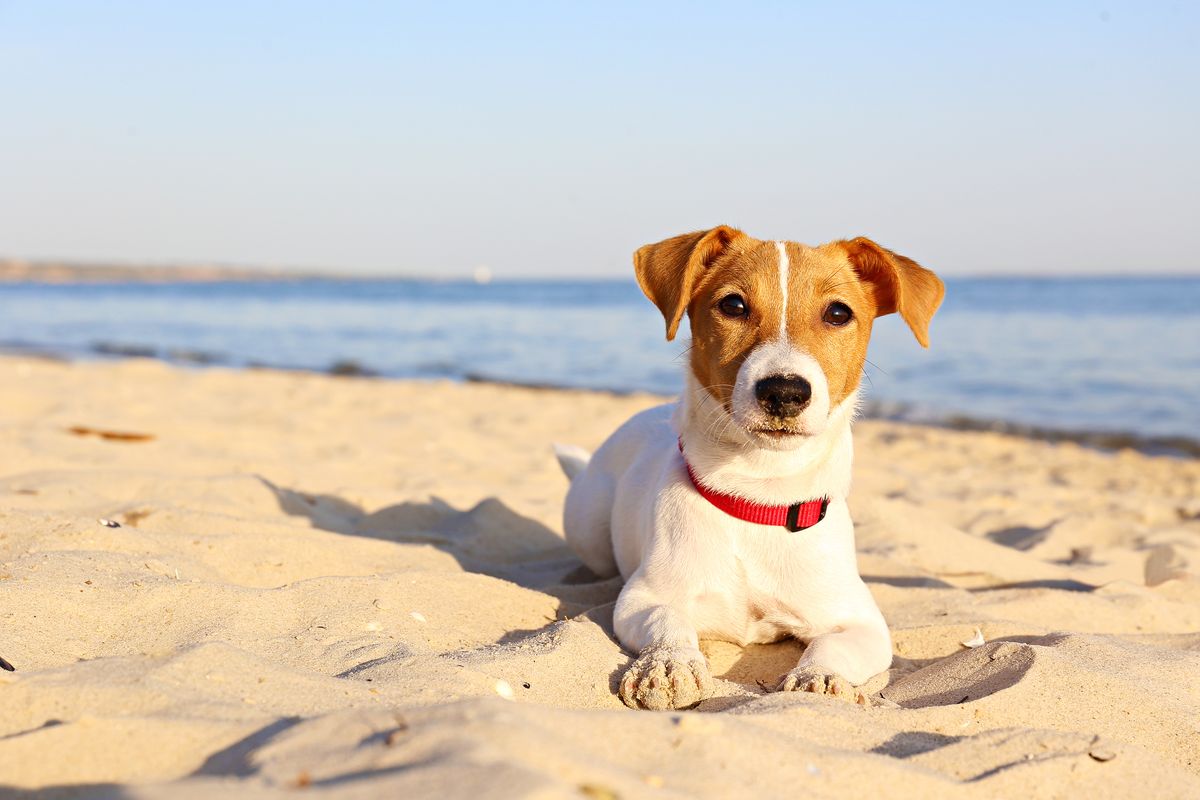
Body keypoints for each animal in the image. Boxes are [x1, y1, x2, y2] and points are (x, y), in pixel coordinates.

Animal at [554, 227, 945, 710]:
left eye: (838, 312)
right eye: (733, 305)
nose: (784, 391)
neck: (759, 494)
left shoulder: (862, 623)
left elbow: (832, 646)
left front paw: (818, 677)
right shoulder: (643, 598)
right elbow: (668, 623)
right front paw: (668, 666)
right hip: (589, 530)